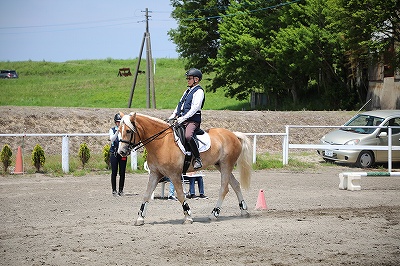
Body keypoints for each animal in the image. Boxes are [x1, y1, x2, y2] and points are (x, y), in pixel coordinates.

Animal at [117, 111, 252, 225]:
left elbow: (181, 195)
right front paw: (140, 218)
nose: (121, 152)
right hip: (220, 165)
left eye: (128, 131)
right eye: (118, 130)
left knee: (224, 189)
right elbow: (146, 194)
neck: (161, 143)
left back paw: (214, 214)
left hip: (226, 165)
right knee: (236, 185)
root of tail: (233, 134)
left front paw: (188, 216)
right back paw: (244, 211)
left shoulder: (174, 175)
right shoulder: (155, 174)